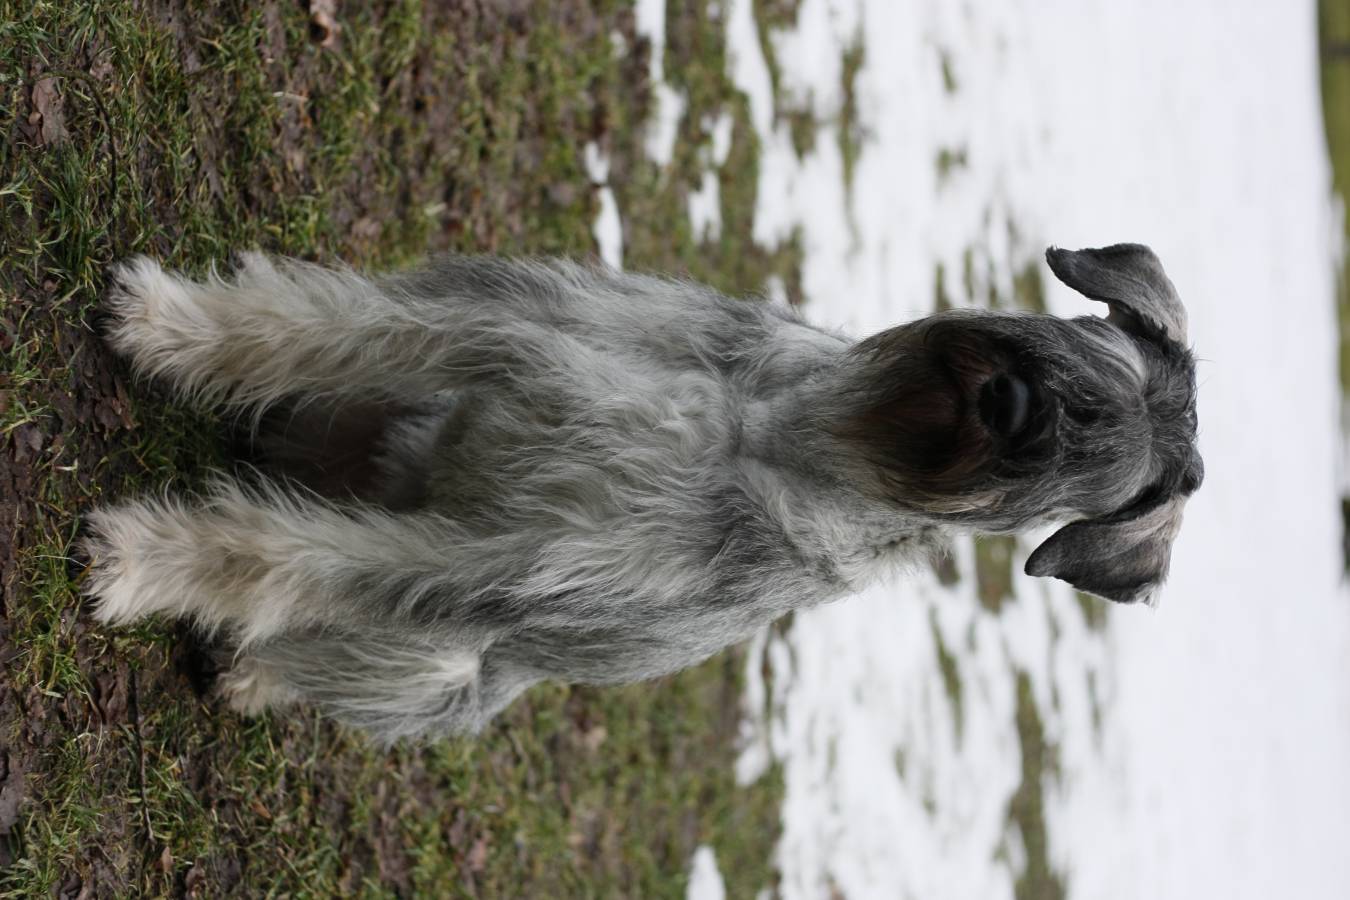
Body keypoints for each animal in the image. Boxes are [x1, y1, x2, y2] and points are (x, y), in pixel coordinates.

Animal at [81, 244, 1202, 741]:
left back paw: (255, 673)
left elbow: (286, 558)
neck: (784, 431)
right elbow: (313, 324)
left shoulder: (504, 564)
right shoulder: (490, 332)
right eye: (1095, 357)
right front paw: (168, 326)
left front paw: (141, 561)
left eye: (1095, 460)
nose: (1013, 405)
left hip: (437, 673)